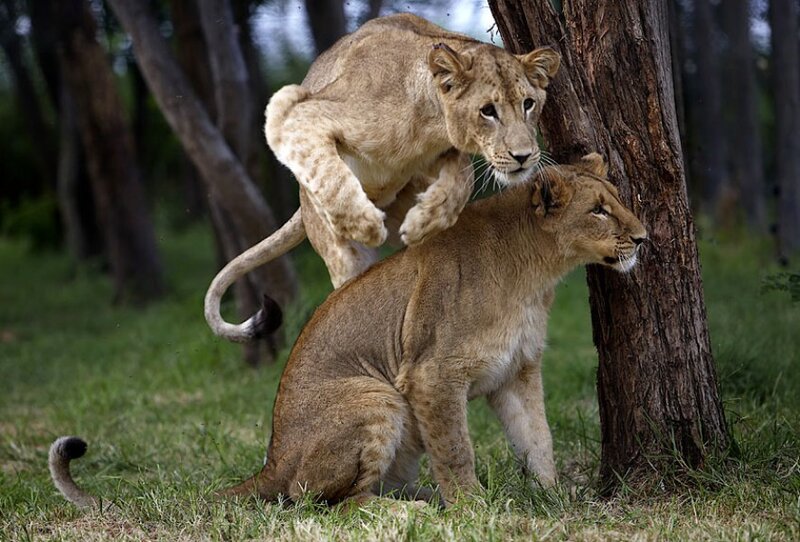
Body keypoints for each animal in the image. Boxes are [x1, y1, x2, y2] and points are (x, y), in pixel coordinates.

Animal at [50, 154, 647, 508]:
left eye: (620, 199)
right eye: (599, 210)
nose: (642, 237)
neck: (537, 273)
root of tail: (270, 462)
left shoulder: (517, 372)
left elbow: (537, 441)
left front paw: (556, 500)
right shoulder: (431, 375)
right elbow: (457, 450)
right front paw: (474, 509)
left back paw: (420, 498)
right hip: (377, 396)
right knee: (330, 503)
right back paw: (419, 509)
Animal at [204, 13, 561, 343]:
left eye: (529, 104)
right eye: (488, 111)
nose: (524, 156)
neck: (429, 123)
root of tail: (302, 208)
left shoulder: (441, 156)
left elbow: (463, 178)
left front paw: (423, 223)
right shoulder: (293, 109)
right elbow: (330, 174)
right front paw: (366, 225)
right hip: (336, 249)